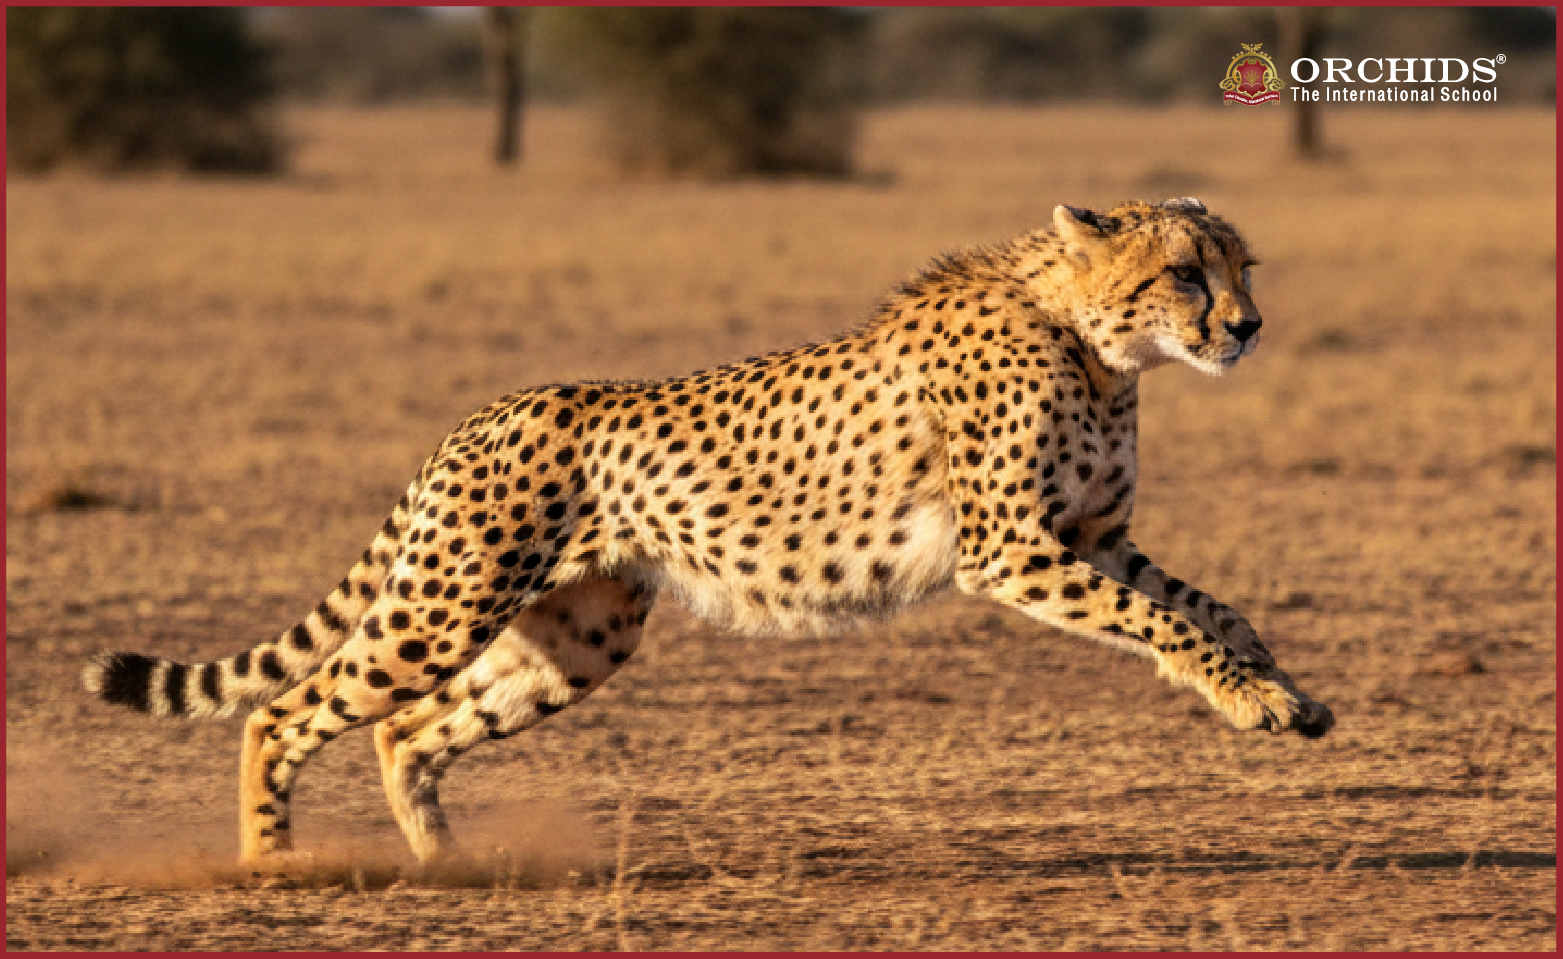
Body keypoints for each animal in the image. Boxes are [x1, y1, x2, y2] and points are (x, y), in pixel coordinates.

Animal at [84, 197, 1333, 868]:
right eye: (1186, 272)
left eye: (1242, 267)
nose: (1251, 325)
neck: (1093, 341)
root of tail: (483, 410)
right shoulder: (1017, 550)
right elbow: (1168, 622)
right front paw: (1253, 699)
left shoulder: (1093, 535)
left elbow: (1209, 605)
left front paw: (1285, 689)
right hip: (443, 605)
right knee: (287, 711)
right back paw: (269, 864)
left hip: (575, 636)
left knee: (407, 730)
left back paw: (445, 863)